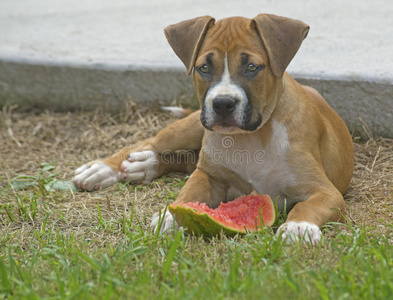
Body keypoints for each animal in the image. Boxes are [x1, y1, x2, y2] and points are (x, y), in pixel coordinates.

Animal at [72, 14, 352, 245]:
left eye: (252, 67)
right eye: (203, 68)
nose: (223, 103)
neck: (252, 138)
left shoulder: (326, 192)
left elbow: (307, 206)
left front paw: (298, 227)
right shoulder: (209, 174)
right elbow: (188, 191)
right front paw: (171, 215)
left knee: (183, 158)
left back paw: (144, 165)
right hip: (191, 127)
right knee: (151, 143)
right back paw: (102, 169)